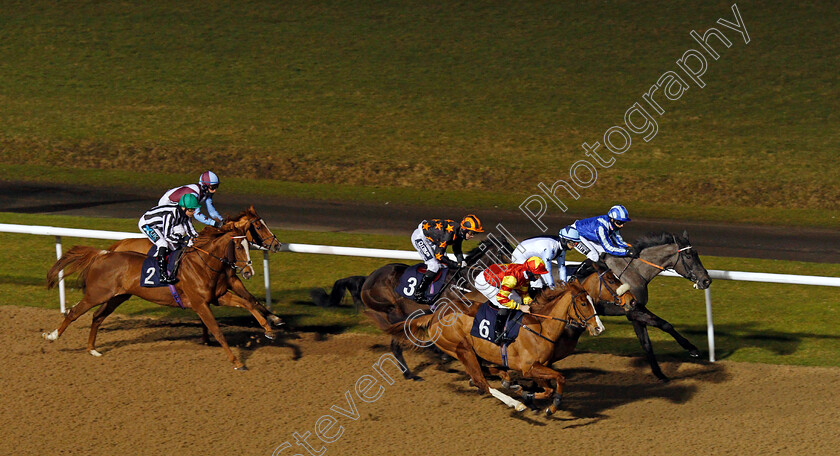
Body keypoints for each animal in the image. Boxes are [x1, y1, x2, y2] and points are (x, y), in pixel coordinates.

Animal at [44, 226, 253, 368]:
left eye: (248, 245)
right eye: (238, 247)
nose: (249, 271)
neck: (201, 264)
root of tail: (103, 254)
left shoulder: (214, 298)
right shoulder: (200, 303)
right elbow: (217, 330)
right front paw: (237, 362)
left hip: (117, 297)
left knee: (97, 317)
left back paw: (92, 349)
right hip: (96, 294)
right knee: (73, 313)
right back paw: (52, 335)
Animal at [109, 207, 282, 338]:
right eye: (259, 227)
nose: (277, 245)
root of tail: (119, 245)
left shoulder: (231, 280)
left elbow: (251, 298)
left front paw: (275, 318)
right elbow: (248, 299)